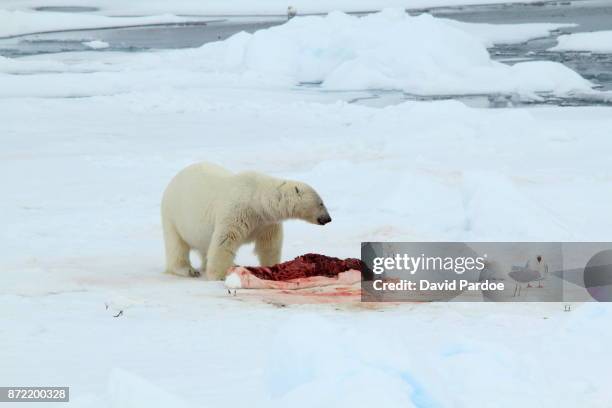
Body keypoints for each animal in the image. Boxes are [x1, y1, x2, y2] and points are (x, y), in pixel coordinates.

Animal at [158, 163, 330, 280]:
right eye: (321, 202)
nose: (328, 219)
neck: (257, 199)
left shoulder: (266, 222)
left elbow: (269, 245)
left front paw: (271, 266)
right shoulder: (237, 213)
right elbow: (224, 241)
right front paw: (219, 275)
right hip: (173, 214)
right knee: (177, 245)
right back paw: (188, 270)